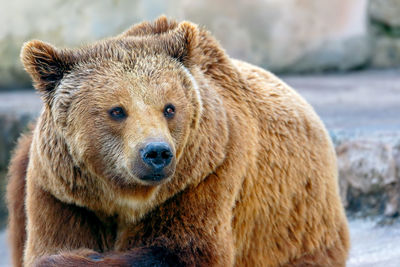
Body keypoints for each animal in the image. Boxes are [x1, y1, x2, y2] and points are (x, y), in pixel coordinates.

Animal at [7, 17, 350, 267]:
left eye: (169, 107)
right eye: (117, 110)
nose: (157, 152)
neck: (122, 196)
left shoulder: (204, 176)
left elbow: (182, 249)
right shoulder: (63, 193)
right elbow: (50, 243)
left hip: (302, 233)